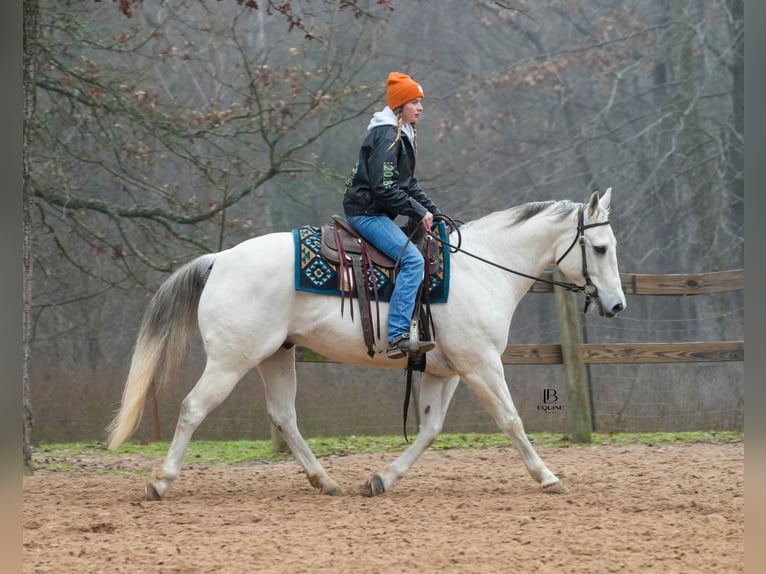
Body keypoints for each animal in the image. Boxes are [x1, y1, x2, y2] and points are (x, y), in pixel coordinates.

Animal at [106, 191, 624, 502]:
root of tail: (220, 260)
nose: (617, 304)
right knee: (194, 408)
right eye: (599, 248)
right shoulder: (481, 365)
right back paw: (161, 482)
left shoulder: (446, 371)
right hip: (231, 361)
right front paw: (547, 476)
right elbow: (511, 419)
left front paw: (381, 479)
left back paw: (325, 481)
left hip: (276, 356)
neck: (483, 268)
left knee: (284, 417)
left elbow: (430, 430)